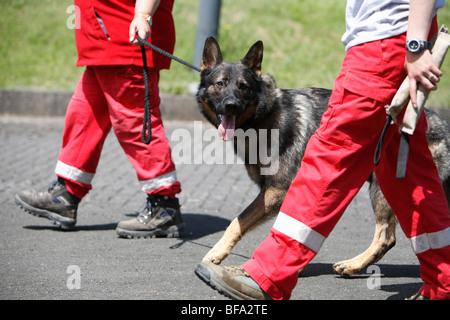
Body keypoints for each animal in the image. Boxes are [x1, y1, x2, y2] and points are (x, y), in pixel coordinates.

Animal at [196, 37, 450, 276]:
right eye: (220, 84)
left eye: (244, 86)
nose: (231, 105)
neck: (263, 116)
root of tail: (443, 126)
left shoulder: (277, 190)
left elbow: (238, 221)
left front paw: (217, 253)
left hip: (385, 189)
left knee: (386, 238)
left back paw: (355, 264)